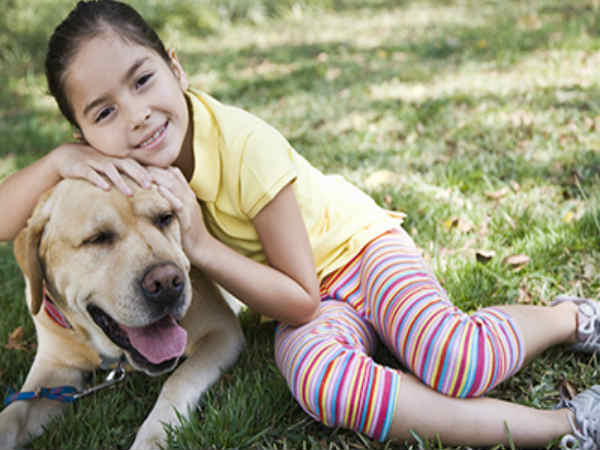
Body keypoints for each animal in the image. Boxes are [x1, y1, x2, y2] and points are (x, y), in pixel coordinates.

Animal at [0, 178, 245, 448]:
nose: (167, 283)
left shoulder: (221, 331)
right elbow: (13, 414)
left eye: (165, 218)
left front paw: (153, 436)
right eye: (98, 238)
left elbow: (180, 378)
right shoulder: (52, 371)